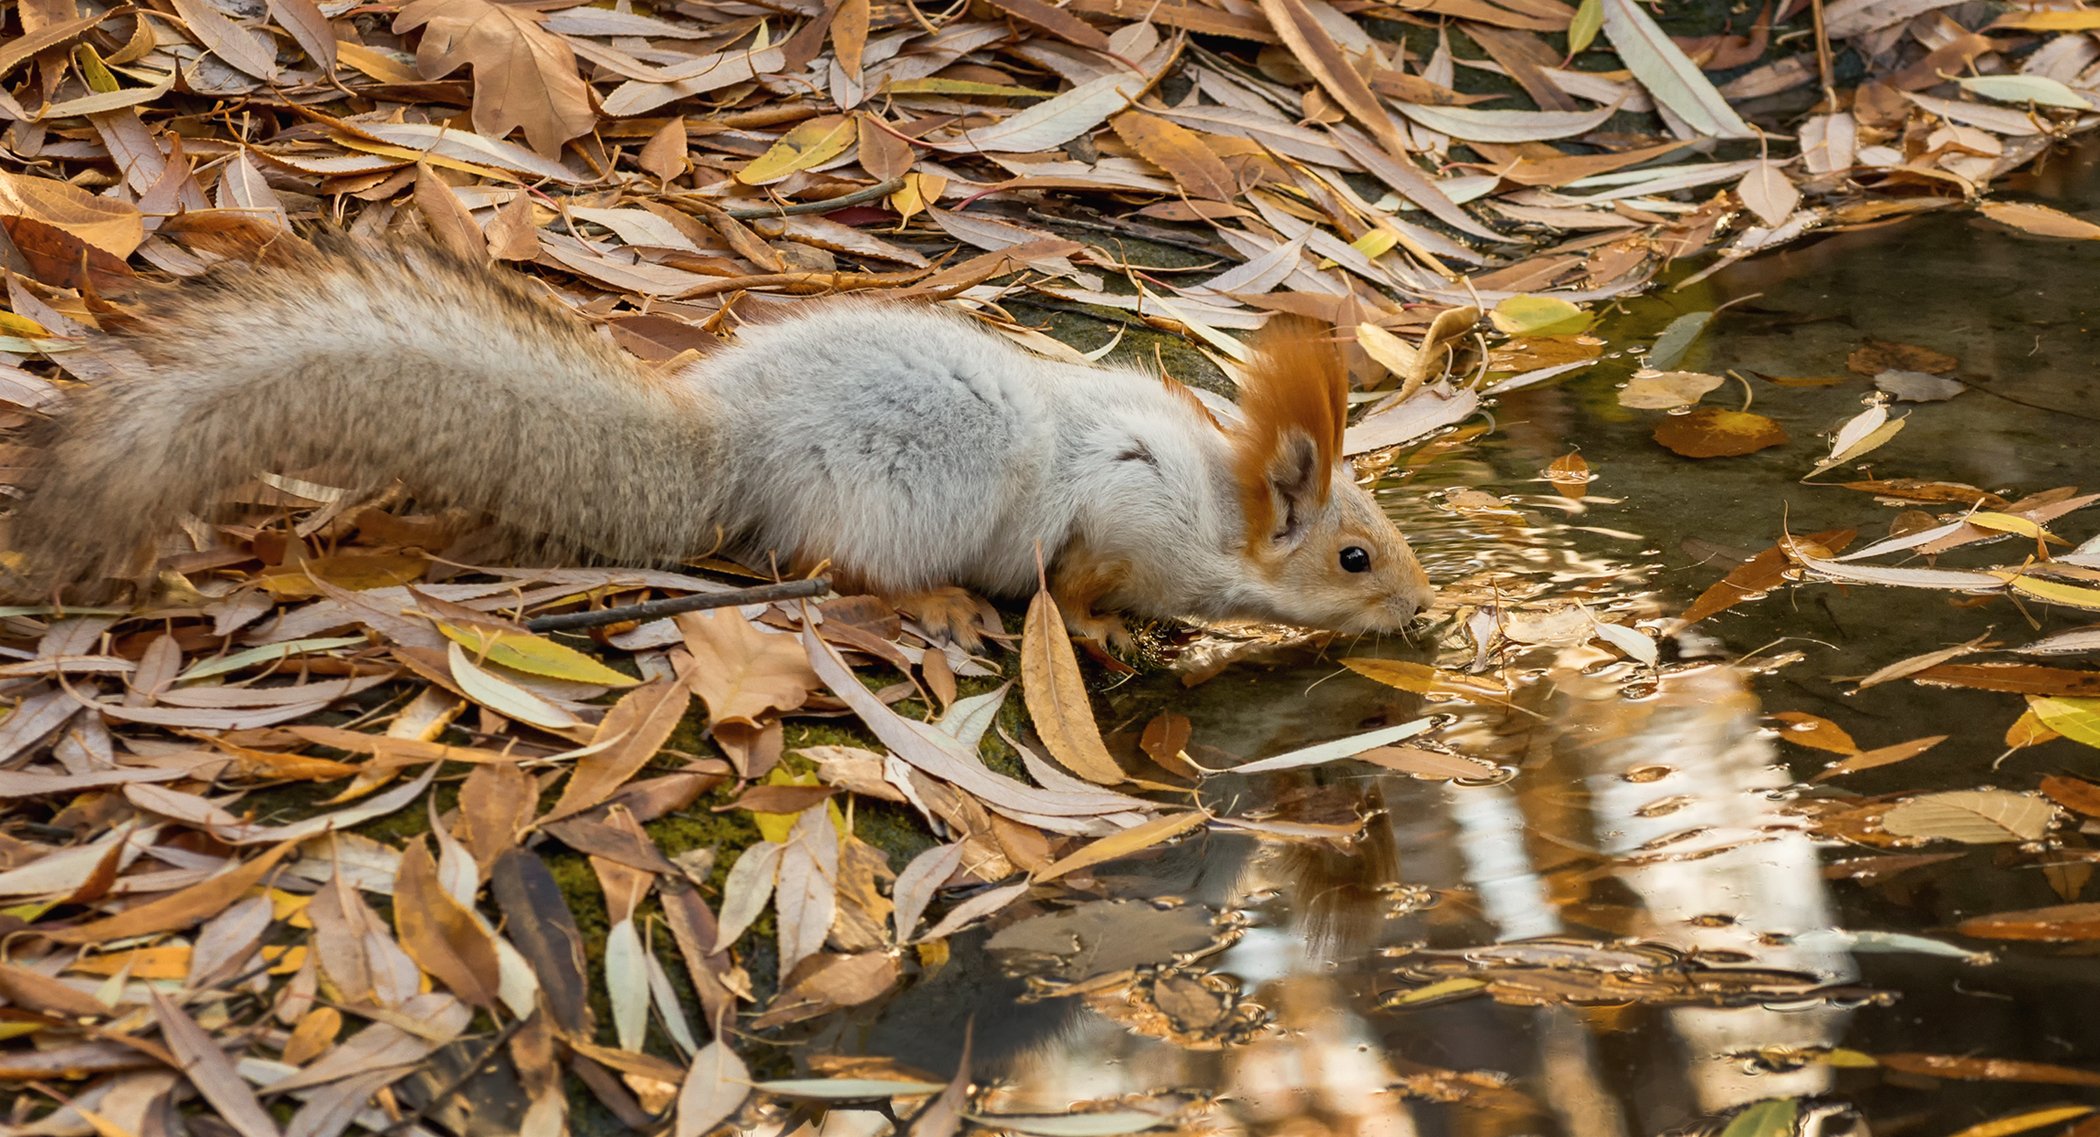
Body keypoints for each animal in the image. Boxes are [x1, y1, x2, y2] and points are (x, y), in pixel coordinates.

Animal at [8, 231, 1436, 643]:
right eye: (1357, 558)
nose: (1423, 611)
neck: (1218, 512)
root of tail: (734, 443)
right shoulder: (1125, 517)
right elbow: (1084, 584)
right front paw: (1104, 636)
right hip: (898, 502)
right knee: (828, 567)